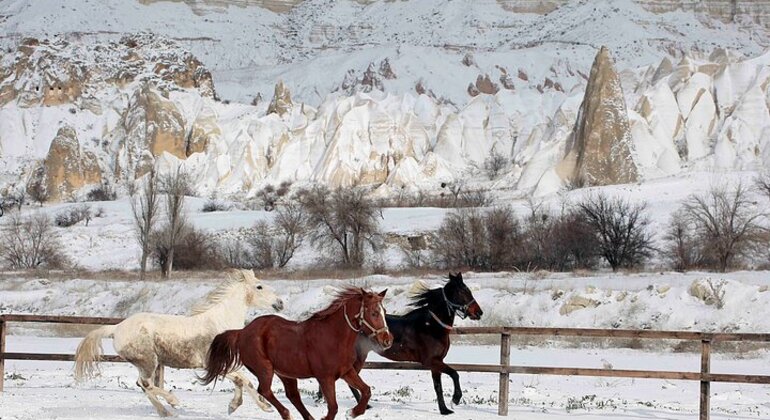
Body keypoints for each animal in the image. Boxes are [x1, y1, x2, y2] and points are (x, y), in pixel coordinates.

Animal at [73, 270, 284, 416]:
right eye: (259, 287)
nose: (280, 303)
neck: (220, 323)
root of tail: (116, 328)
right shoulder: (212, 364)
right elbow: (244, 380)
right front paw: (264, 406)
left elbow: (242, 381)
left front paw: (236, 406)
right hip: (148, 361)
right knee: (146, 384)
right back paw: (173, 401)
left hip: (145, 363)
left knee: (143, 385)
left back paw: (166, 413)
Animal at [200, 288, 390, 418]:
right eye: (374, 313)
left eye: (384, 312)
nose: (387, 340)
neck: (333, 337)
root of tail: (242, 332)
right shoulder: (325, 377)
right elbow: (333, 408)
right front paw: (346, 413)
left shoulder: (346, 372)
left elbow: (366, 390)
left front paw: (352, 412)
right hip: (265, 369)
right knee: (265, 391)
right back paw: (285, 413)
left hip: (285, 373)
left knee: (293, 395)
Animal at [320, 272, 484, 414]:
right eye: (462, 292)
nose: (479, 313)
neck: (431, 326)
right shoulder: (430, 361)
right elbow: (454, 374)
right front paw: (455, 400)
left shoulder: (437, 362)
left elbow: (438, 386)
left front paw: (444, 410)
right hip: (358, 358)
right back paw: (363, 406)